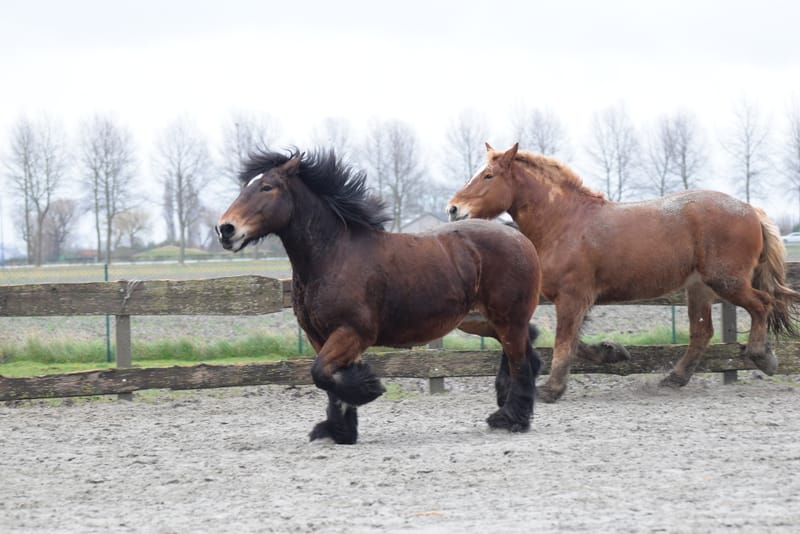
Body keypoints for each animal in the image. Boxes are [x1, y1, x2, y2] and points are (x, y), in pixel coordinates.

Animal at [216, 148, 543, 444]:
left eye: (267, 187)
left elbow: (321, 373)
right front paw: (339, 431)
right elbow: (328, 381)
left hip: (506, 318)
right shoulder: (319, 336)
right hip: (483, 321)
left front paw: (368, 388)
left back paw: (510, 418)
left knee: (520, 361)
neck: (334, 255)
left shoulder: (352, 332)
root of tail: (517, 235)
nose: (225, 229)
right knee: (528, 351)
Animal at [448, 143, 800, 403]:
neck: (564, 223)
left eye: (488, 175)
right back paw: (674, 378)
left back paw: (762, 357)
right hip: (700, 287)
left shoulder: (572, 297)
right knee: (702, 333)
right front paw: (612, 353)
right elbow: (574, 342)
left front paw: (551, 390)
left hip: (727, 282)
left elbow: (563, 342)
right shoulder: (574, 300)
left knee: (762, 304)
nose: (453, 209)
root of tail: (750, 209)